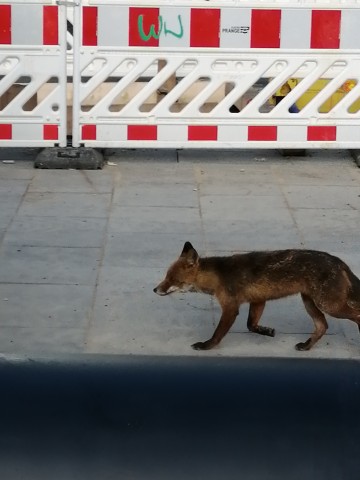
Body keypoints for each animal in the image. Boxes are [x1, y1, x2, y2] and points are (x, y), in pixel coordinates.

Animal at [153, 242, 360, 350]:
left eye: (173, 279)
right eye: (166, 277)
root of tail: (338, 261)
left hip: (330, 305)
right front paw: (266, 331)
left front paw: (207, 346)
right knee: (322, 326)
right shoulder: (258, 299)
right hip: (310, 302)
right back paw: (306, 346)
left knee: (355, 315)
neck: (218, 277)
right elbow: (250, 325)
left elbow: (218, 333)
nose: (155, 290)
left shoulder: (230, 308)